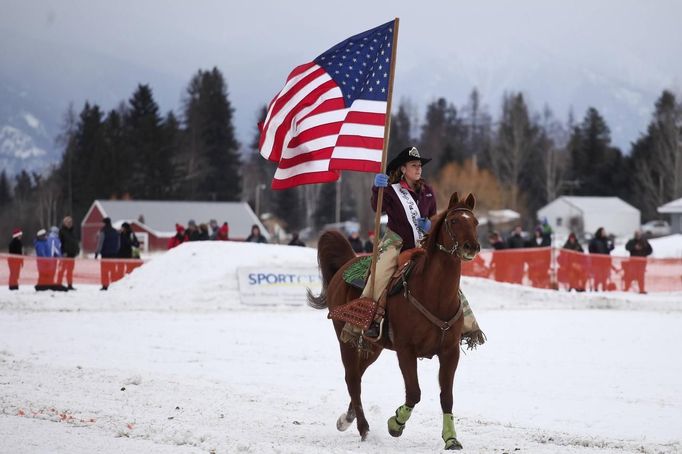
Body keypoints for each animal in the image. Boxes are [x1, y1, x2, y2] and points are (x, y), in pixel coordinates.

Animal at [308, 192, 478, 450]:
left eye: (475, 222)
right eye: (454, 221)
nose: (472, 247)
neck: (433, 294)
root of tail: (346, 264)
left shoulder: (450, 352)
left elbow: (446, 397)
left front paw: (451, 439)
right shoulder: (406, 350)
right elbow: (414, 392)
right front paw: (395, 424)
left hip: (373, 347)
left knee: (358, 375)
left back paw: (347, 418)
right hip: (346, 339)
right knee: (352, 378)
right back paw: (363, 427)